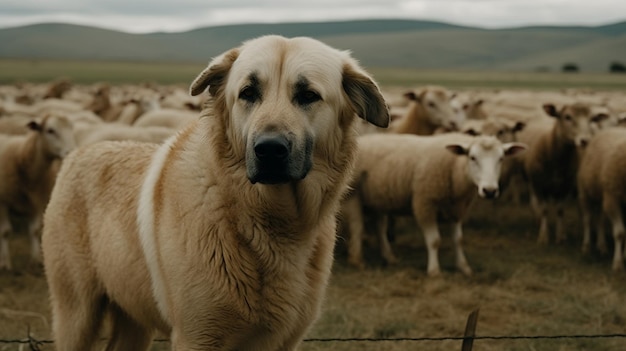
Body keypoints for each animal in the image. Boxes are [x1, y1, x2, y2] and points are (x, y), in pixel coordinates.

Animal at [0, 114, 75, 270]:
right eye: (50, 130)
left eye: (71, 128)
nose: (69, 152)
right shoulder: (3, 201)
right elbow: (5, 232)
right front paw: (4, 263)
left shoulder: (36, 202)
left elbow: (34, 231)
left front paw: (36, 259)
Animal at [41, 33, 388, 351]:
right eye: (248, 93)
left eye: (308, 95)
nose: (269, 149)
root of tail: (79, 153)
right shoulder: (197, 337)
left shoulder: (283, 340)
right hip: (76, 313)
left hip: (131, 313)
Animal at [344, 132, 524, 276]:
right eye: (472, 157)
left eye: (501, 158)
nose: (490, 191)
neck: (456, 167)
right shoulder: (425, 203)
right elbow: (434, 241)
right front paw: (434, 270)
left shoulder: (456, 209)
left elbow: (458, 239)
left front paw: (463, 267)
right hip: (354, 194)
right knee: (357, 227)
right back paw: (357, 260)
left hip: (378, 196)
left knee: (379, 227)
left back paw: (389, 257)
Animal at [520, 102, 608, 245]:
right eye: (567, 117)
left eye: (591, 119)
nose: (585, 140)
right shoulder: (539, 185)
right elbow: (544, 209)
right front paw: (544, 236)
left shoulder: (565, 186)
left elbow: (560, 210)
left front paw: (560, 236)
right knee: (535, 201)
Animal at [572, 128, 624, 270]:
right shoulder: (612, 198)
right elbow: (620, 233)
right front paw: (618, 263)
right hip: (585, 193)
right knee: (588, 219)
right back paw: (586, 247)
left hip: (601, 196)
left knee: (600, 219)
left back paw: (602, 246)